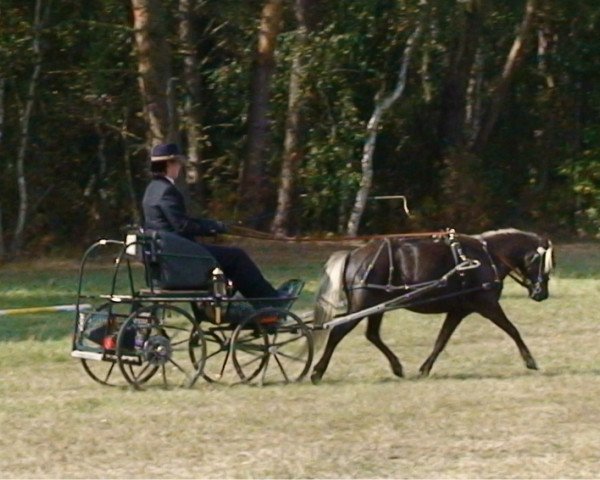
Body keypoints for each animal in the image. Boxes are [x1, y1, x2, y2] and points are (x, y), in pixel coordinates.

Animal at [312, 228, 556, 382]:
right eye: (544, 263)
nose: (541, 294)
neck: (487, 258)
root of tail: (354, 254)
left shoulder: (458, 311)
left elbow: (441, 340)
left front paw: (424, 369)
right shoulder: (487, 305)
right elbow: (512, 329)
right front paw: (530, 361)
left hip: (377, 305)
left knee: (372, 335)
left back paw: (397, 367)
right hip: (363, 305)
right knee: (338, 331)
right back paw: (317, 372)